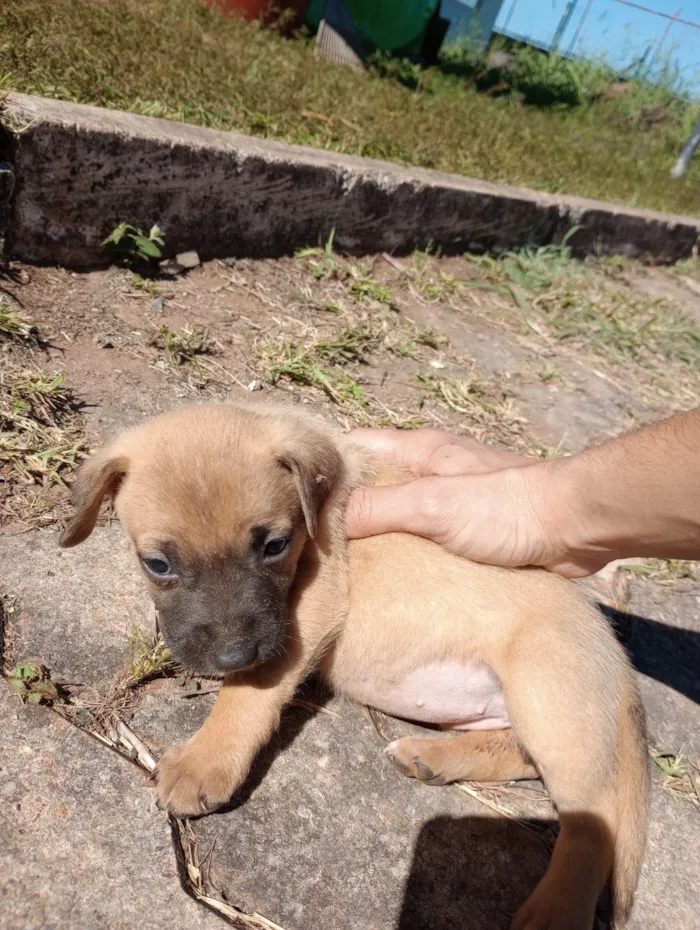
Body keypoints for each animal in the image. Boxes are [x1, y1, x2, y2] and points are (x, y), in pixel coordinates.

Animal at [61, 398, 652, 928]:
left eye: (275, 545)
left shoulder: (311, 606)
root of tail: (622, 668)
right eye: (157, 564)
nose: (231, 656)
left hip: (548, 692)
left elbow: (252, 690)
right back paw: (431, 757)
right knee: (523, 756)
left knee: (593, 820)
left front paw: (206, 760)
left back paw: (555, 912)